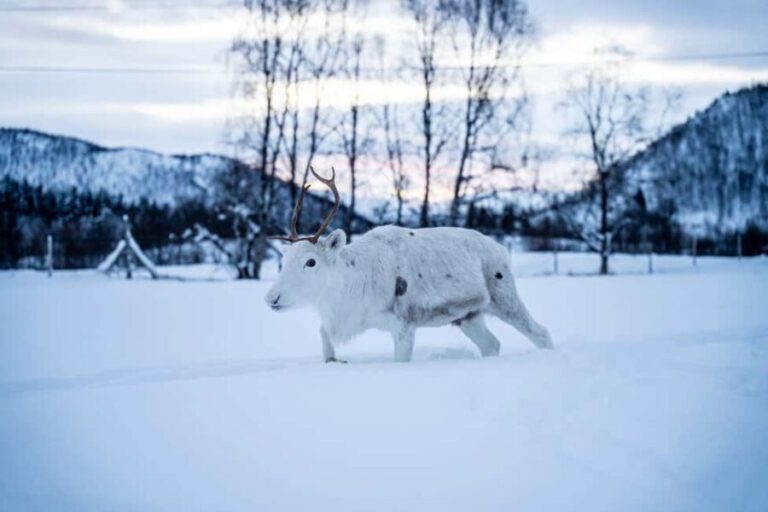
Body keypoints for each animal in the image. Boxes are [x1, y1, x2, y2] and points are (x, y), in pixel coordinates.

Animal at [265, 168, 553, 363]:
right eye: (283, 260)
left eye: (310, 261)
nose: (271, 297)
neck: (349, 293)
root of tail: (502, 249)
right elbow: (326, 343)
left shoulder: (404, 322)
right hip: (467, 316)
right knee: (492, 344)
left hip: (504, 295)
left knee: (540, 332)